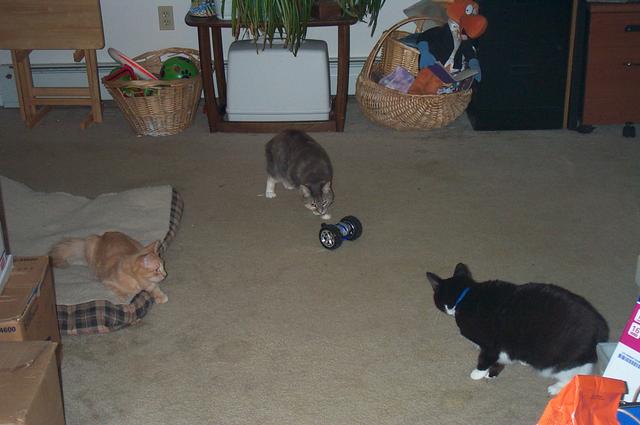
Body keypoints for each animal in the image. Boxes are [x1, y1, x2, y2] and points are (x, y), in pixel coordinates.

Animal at [426, 263, 609, 395]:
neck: (466, 296)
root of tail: (600, 326)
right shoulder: (505, 347)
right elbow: (502, 358)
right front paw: (494, 372)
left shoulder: (490, 343)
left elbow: (485, 358)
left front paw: (477, 373)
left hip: (559, 359)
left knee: (577, 373)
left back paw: (555, 388)